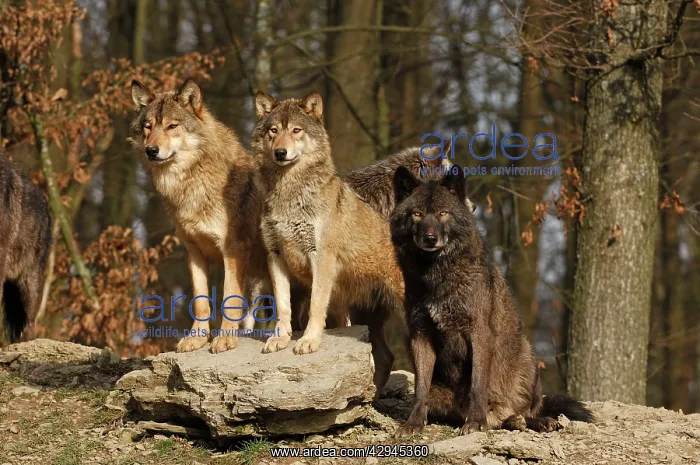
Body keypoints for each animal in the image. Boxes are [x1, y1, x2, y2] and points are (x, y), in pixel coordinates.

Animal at [129, 79, 267, 354]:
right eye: (148, 127)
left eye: (172, 126)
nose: (151, 150)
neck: (192, 185)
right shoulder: (193, 251)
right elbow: (201, 301)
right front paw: (197, 338)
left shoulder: (232, 250)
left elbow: (229, 298)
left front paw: (225, 338)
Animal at [252, 90, 405, 391]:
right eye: (274, 131)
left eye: (296, 130)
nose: (280, 152)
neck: (289, 195)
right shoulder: (275, 256)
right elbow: (283, 306)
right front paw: (280, 338)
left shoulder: (320, 258)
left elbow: (315, 306)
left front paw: (308, 341)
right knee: (386, 357)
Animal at [390, 165, 594, 435]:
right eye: (417, 214)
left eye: (443, 213)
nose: (430, 238)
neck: (436, 276)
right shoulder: (419, 335)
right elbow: (419, 389)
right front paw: (413, 423)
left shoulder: (479, 332)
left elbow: (478, 384)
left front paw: (476, 422)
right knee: (496, 417)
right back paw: (511, 420)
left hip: (527, 356)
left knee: (526, 410)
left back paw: (535, 421)